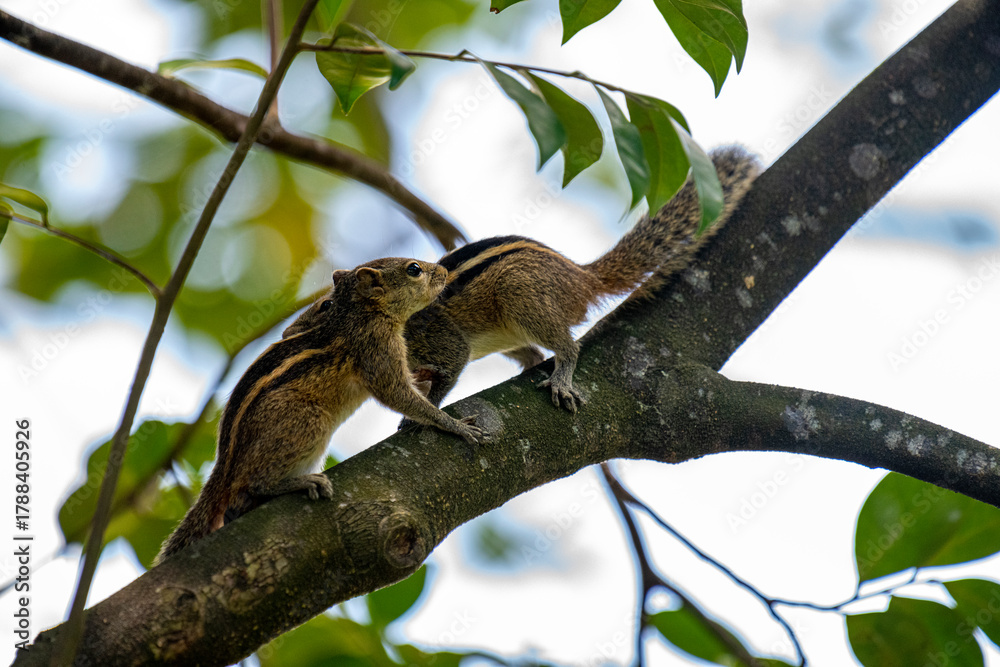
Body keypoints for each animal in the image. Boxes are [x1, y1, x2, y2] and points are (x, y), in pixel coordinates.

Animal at [156, 258, 488, 564]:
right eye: (414, 269)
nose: (443, 272)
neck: (359, 314)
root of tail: (224, 464)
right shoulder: (377, 349)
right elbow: (397, 393)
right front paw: (455, 425)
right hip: (308, 420)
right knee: (251, 485)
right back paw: (301, 482)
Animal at [286, 146, 760, 415]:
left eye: (325, 306)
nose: (288, 338)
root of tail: (582, 276)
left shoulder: (443, 339)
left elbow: (451, 365)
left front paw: (421, 414)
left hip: (521, 293)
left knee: (569, 346)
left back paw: (562, 376)